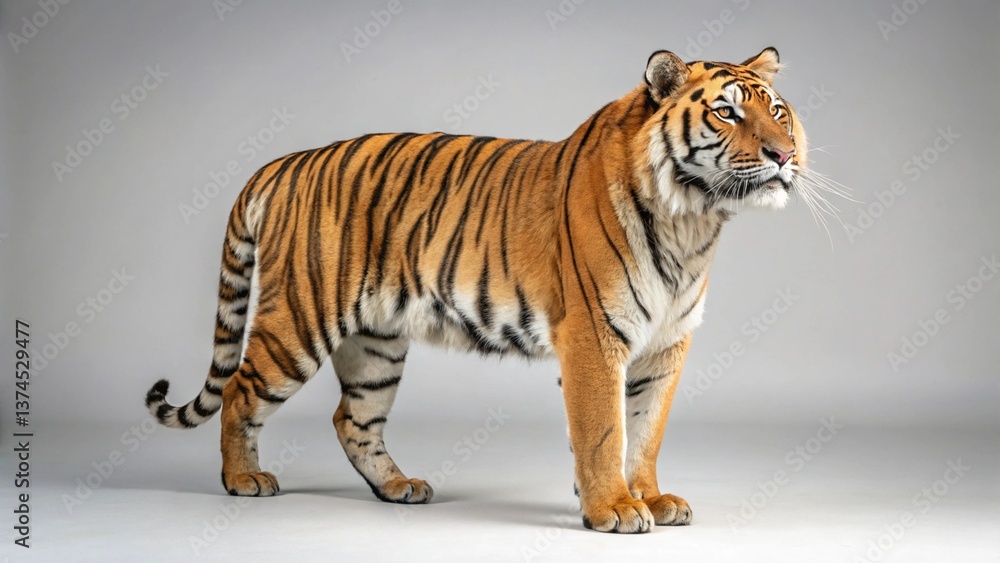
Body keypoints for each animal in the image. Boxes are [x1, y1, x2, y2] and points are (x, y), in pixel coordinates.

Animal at [145, 47, 807, 533]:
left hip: (376, 342)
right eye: (726, 113)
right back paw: (243, 481)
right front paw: (615, 509)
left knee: (352, 417)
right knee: (240, 390)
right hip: (298, 322)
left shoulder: (667, 343)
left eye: (777, 111)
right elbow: (604, 430)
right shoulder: (594, 335)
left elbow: (645, 430)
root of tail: (285, 162)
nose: (784, 154)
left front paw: (651, 497)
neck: (692, 218)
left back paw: (398, 487)